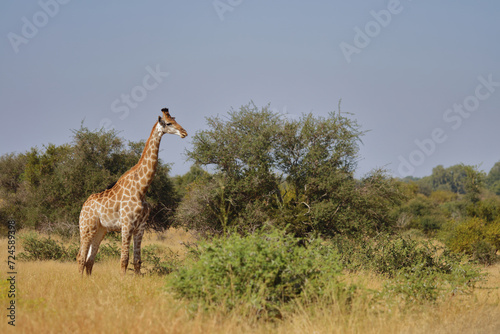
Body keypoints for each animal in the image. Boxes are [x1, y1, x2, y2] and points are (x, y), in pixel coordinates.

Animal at [77, 108, 187, 276]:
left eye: (175, 120)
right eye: (168, 123)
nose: (184, 132)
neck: (141, 189)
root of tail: (83, 206)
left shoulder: (140, 227)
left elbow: (137, 261)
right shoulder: (127, 224)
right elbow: (124, 260)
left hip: (100, 230)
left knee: (90, 260)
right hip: (86, 227)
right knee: (81, 258)